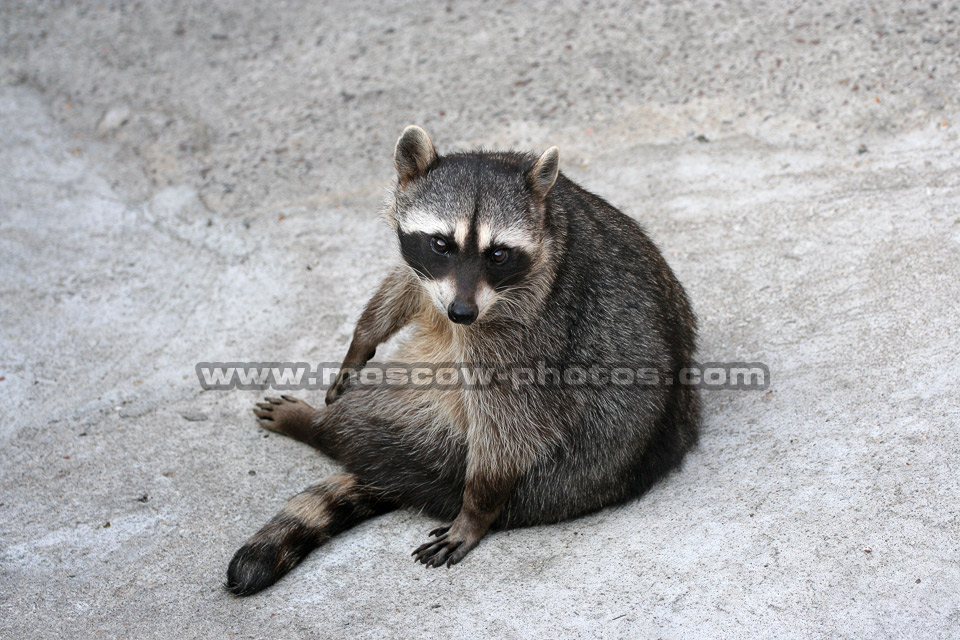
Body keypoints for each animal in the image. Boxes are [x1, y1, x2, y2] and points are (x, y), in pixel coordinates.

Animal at [225, 126, 700, 595]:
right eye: (441, 244)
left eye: (498, 253)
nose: (461, 313)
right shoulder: (431, 276)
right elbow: (404, 285)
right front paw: (361, 341)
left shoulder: (531, 328)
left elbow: (511, 424)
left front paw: (477, 509)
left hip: (448, 444)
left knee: (373, 418)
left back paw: (316, 426)